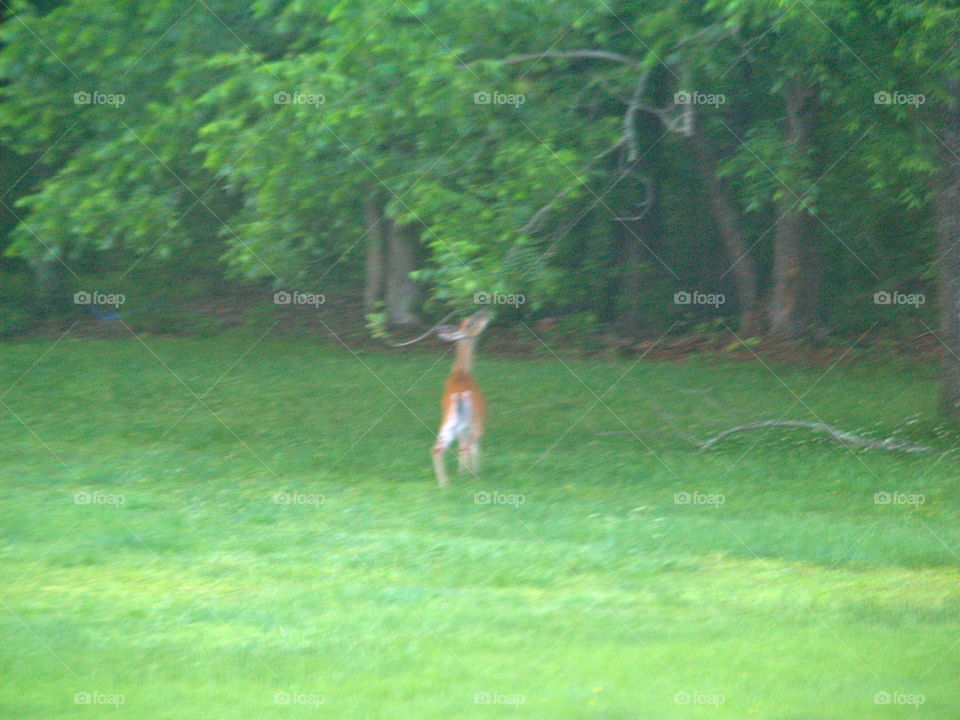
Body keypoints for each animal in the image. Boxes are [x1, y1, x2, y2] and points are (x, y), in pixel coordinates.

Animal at [434, 310, 492, 486]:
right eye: (471, 322)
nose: (486, 311)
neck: (462, 371)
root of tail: (459, 396)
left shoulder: (461, 426)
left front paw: (461, 472)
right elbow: (474, 447)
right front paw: (472, 471)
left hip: (449, 421)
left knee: (438, 448)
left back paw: (444, 483)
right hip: (476, 420)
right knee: (468, 445)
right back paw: (473, 478)